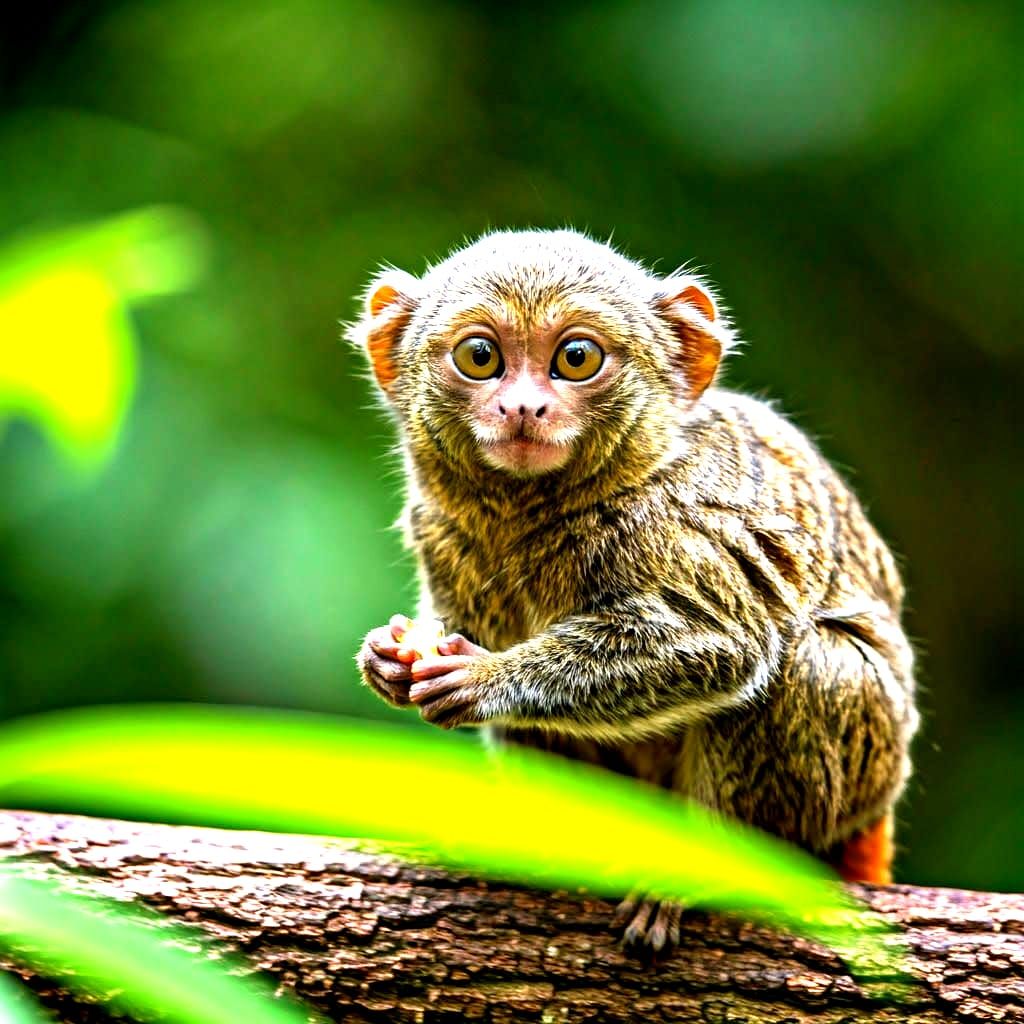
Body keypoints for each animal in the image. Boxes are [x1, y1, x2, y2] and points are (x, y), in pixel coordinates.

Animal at [350, 229, 919, 952]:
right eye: (481, 357)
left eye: (576, 359)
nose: (523, 407)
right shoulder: (440, 529)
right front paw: (388, 656)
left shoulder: (683, 520)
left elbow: (720, 643)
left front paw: (485, 678)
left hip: (863, 770)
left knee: (804, 667)